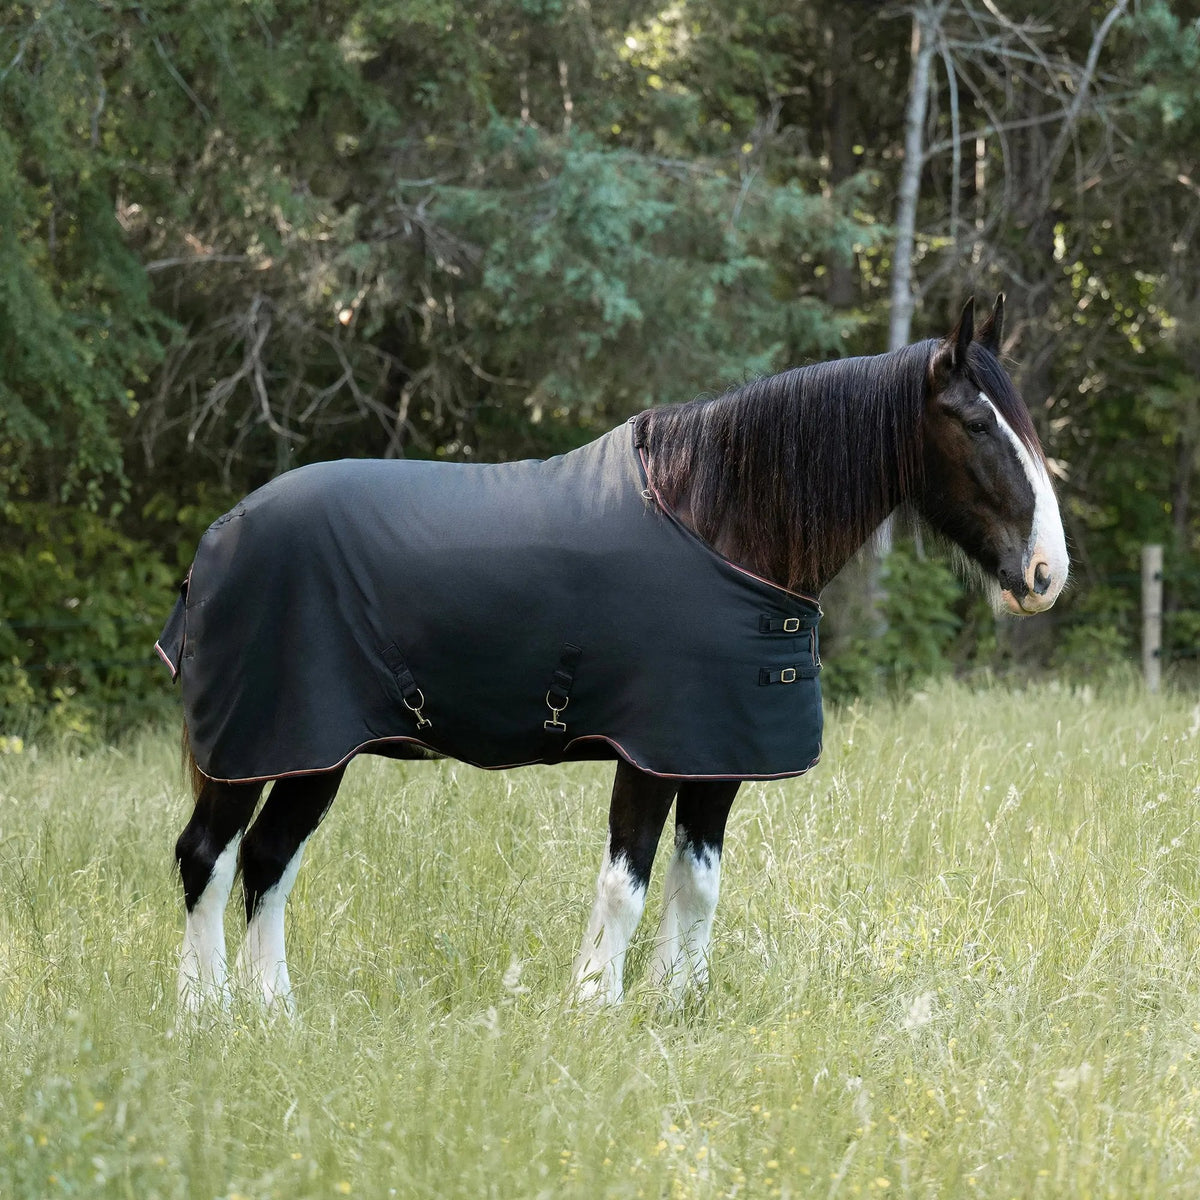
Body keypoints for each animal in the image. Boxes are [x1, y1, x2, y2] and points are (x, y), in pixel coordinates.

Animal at [159, 295, 1068, 1014]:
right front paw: (596, 1003)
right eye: (977, 423)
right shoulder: (651, 751)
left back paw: (275, 1013)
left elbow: (697, 883)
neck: (715, 521)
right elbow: (625, 883)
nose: (1046, 574)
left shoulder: (717, 754)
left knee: (268, 859)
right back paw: (205, 1013)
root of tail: (219, 539)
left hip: (313, 755)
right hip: (264, 747)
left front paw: (678, 1003)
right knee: (208, 857)